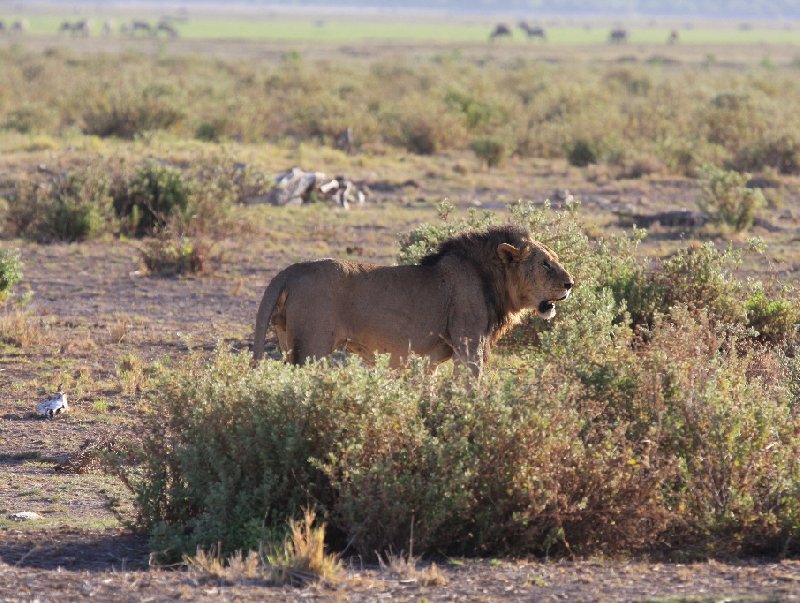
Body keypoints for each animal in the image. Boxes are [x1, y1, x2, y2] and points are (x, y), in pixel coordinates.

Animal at [253, 226, 572, 378]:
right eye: (545, 264)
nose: (570, 284)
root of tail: (292, 269)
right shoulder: (469, 348)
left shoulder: (431, 359)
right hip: (312, 348)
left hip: (286, 340)